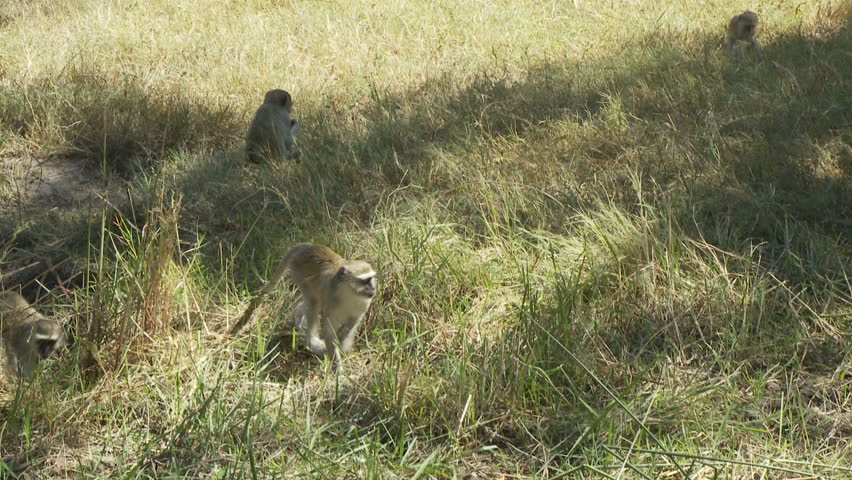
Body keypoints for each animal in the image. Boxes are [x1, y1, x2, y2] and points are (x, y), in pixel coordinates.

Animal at [230, 244, 377, 366]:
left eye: (371, 279)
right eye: (365, 281)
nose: (373, 288)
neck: (349, 293)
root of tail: (305, 246)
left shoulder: (364, 303)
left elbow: (354, 321)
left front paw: (343, 343)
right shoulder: (331, 297)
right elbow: (329, 331)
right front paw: (338, 370)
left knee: (311, 303)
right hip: (298, 272)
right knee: (313, 303)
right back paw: (311, 341)